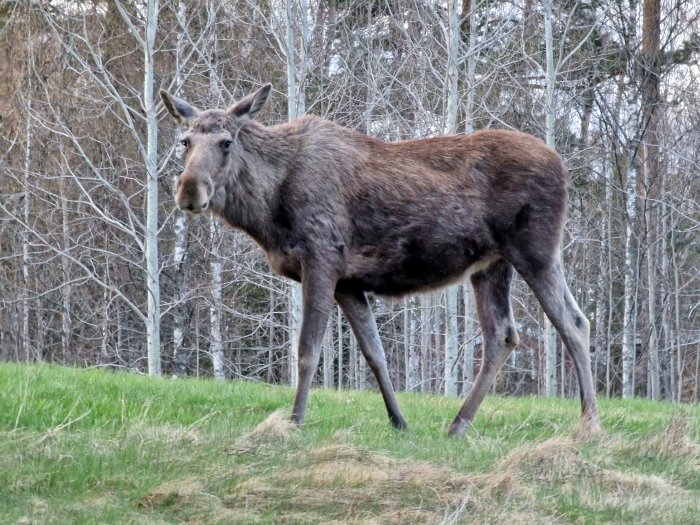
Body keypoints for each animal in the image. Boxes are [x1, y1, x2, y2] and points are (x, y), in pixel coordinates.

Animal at [160, 84, 600, 436]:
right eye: (184, 141)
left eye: (226, 142)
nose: (189, 191)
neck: (267, 212)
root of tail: (563, 167)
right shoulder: (349, 283)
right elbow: (375, 355)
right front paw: (399, 421)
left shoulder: (322, 257)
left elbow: (307, 351)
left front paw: (294, 422)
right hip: (491, 264)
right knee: (502, 335)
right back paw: (458, 424)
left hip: (535, 248)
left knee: (574, 322)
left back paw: (589, 423)